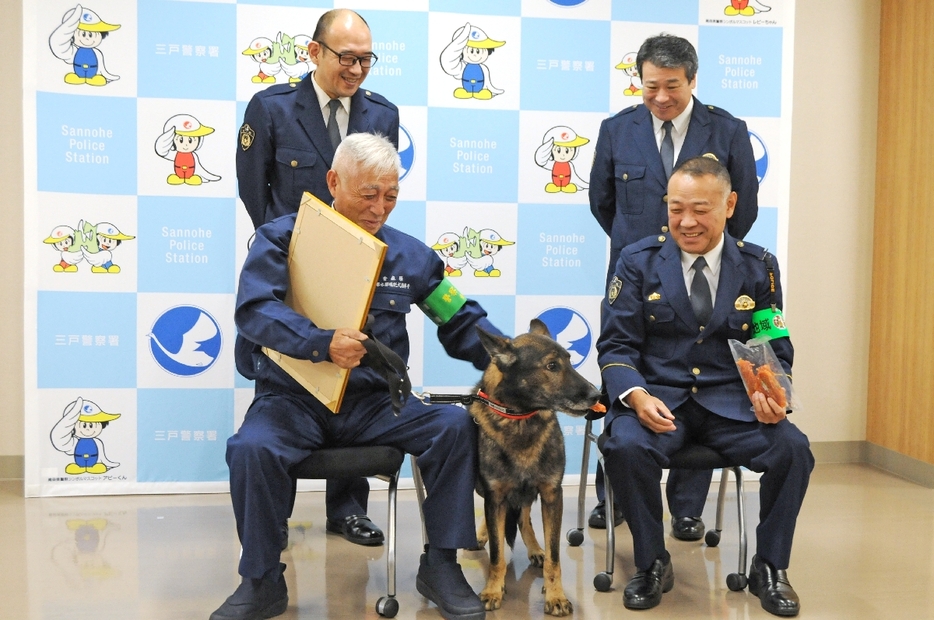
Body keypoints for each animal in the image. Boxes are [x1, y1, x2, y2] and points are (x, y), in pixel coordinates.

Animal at [472, 320, 604, 616]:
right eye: (552, 366)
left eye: (570, 361)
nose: (596, 395)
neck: (520, 417)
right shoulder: (496, 495)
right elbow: (497, 553)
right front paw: (493, 588)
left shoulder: (551, 495)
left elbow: (554, 557)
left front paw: (555, 595)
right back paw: (483, 534)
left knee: (523, 518)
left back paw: (534, 549)